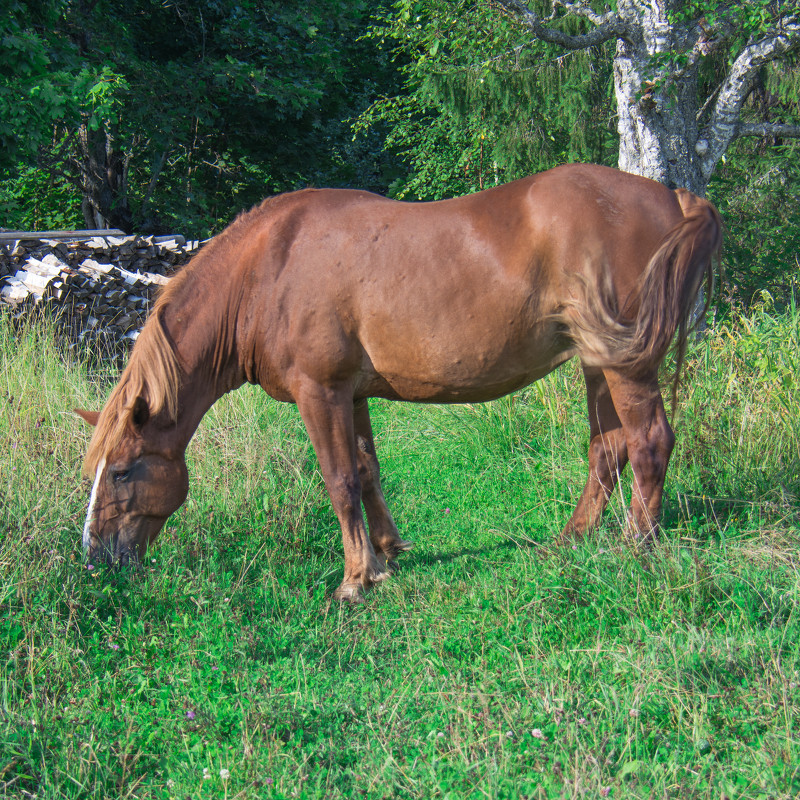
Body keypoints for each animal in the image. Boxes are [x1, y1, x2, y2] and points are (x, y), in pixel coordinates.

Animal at [76, 162, 724, 600]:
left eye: (123, 470)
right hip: (597, 364)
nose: (95, 559)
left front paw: (354, 580)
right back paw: (572, 541)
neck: (268, 271)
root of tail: (673, 196)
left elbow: (339, 480)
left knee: (649, 442)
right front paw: (385, 555)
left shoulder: (320, 393)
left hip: (625, 366)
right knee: (608, 449)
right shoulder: (353, 393)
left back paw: (638, 545)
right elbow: (366, 471)